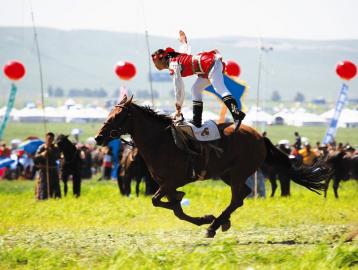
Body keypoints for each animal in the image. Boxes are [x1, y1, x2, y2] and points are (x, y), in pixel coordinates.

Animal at [94, 96, 330, 237]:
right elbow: (175, 210)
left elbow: (159, 201)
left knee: (237, 198)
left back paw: (214, 225)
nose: (98, 138)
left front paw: (205, 218)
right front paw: (200, 215)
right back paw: (221, 221)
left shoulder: (172, 181)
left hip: (238, 173)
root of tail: (259, 137)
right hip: (227, 174)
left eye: (118, 116)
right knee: (243, 194)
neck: (161, 142)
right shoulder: (165, 184)